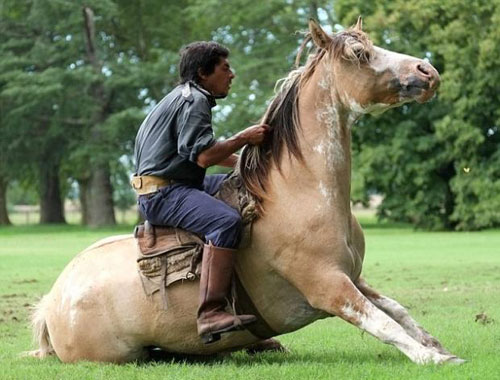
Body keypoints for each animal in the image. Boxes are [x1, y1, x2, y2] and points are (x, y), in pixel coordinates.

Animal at [27, 19, 464, 364]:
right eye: (359, 53)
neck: (299, 195)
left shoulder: (353, 277)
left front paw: (437, 347)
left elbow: (398, 311)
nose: (427, 70)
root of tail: (53, 302)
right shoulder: (329, 286)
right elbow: (382, 323)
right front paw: (431, 358)